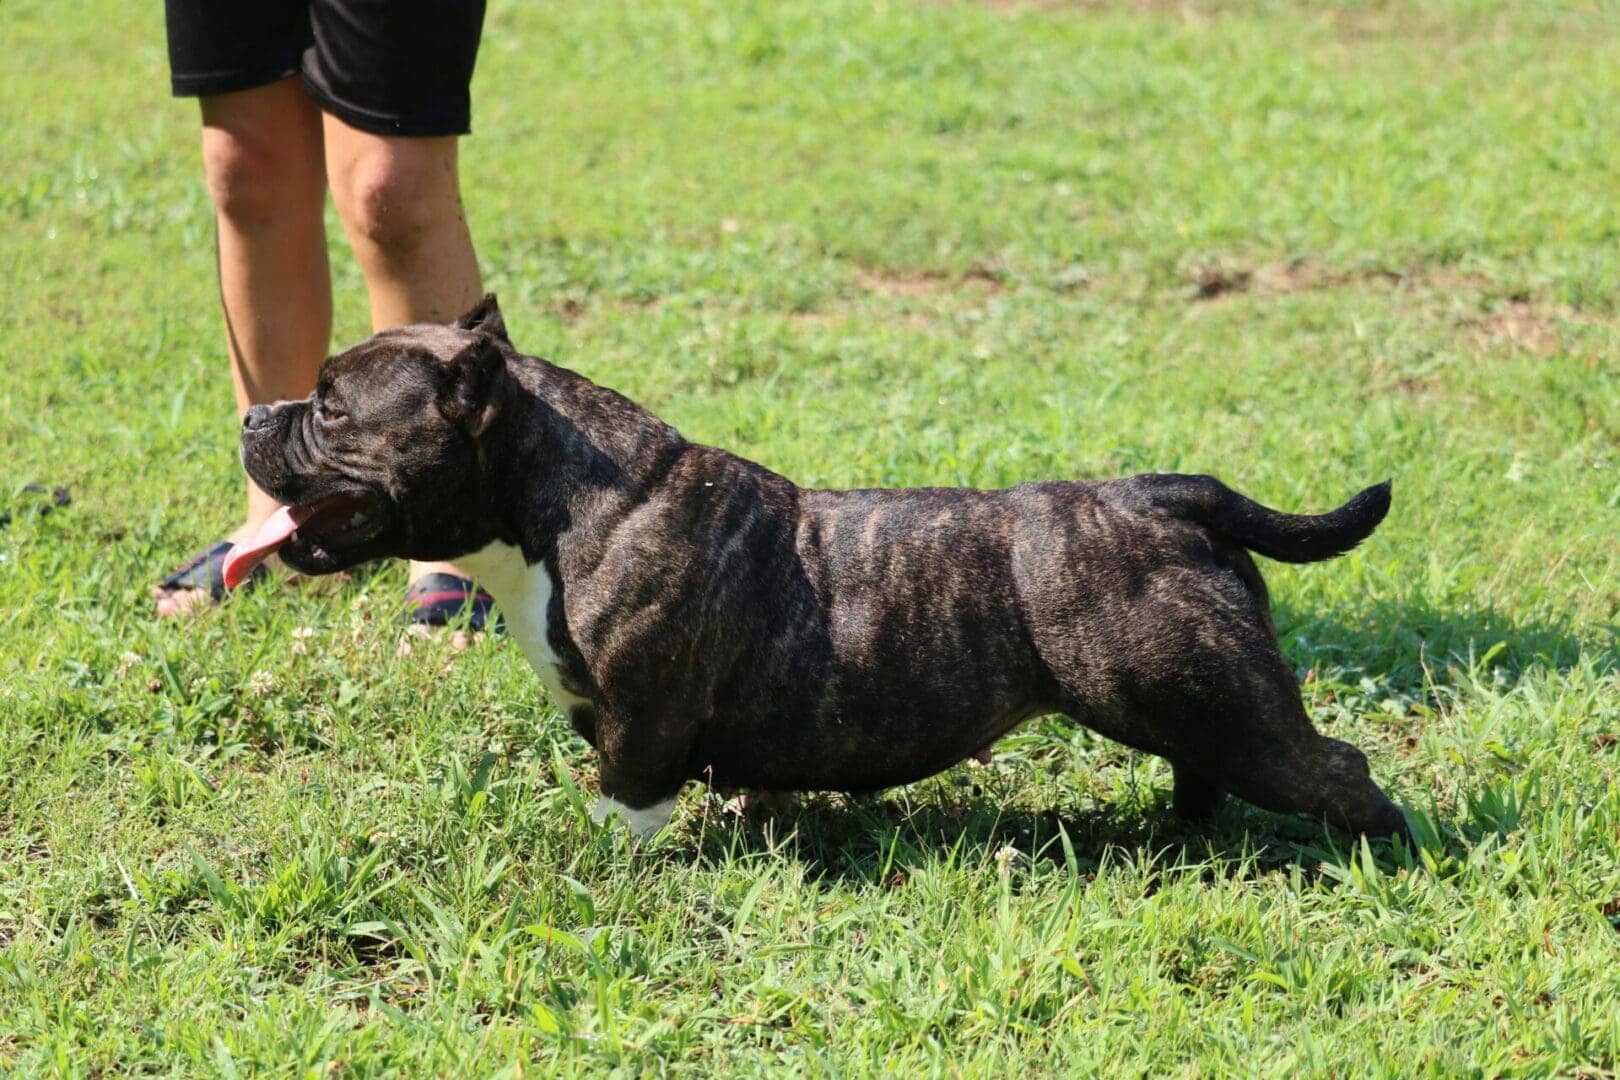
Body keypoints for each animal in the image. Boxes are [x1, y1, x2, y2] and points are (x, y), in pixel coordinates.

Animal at [225, 296, 1406, 841]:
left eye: (331, 409)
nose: (251, 412)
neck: (560, 499)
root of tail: (1162, 494)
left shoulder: (642, 719)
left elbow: (628, 799)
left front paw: (611, 866)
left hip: (1219, 703)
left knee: (1334, 770)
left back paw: (1386, 857)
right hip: (1189, 696)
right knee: (1203, 764)